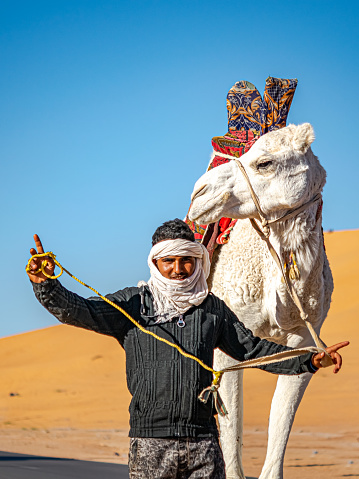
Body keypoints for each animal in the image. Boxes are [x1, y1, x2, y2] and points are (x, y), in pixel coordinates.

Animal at [188, 124, 334, 479]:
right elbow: (231, 427)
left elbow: (280, 420)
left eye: (264, 163)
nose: (199, 193)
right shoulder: (225, 339)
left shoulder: (307, 339)